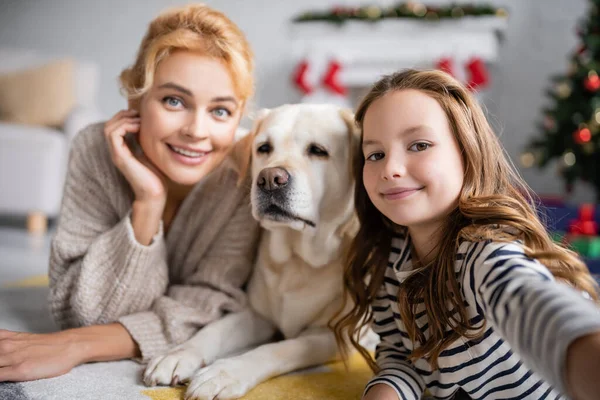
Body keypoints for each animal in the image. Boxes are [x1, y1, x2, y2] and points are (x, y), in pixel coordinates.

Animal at [144, 104, 360, 400]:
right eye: (264, 148)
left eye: (318, 150)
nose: (269, 179)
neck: (297, 258)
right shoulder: (258, 314)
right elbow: (214, 329)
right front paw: (177, 354)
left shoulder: (336, 335)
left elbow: (279, 348)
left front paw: (224, 373)